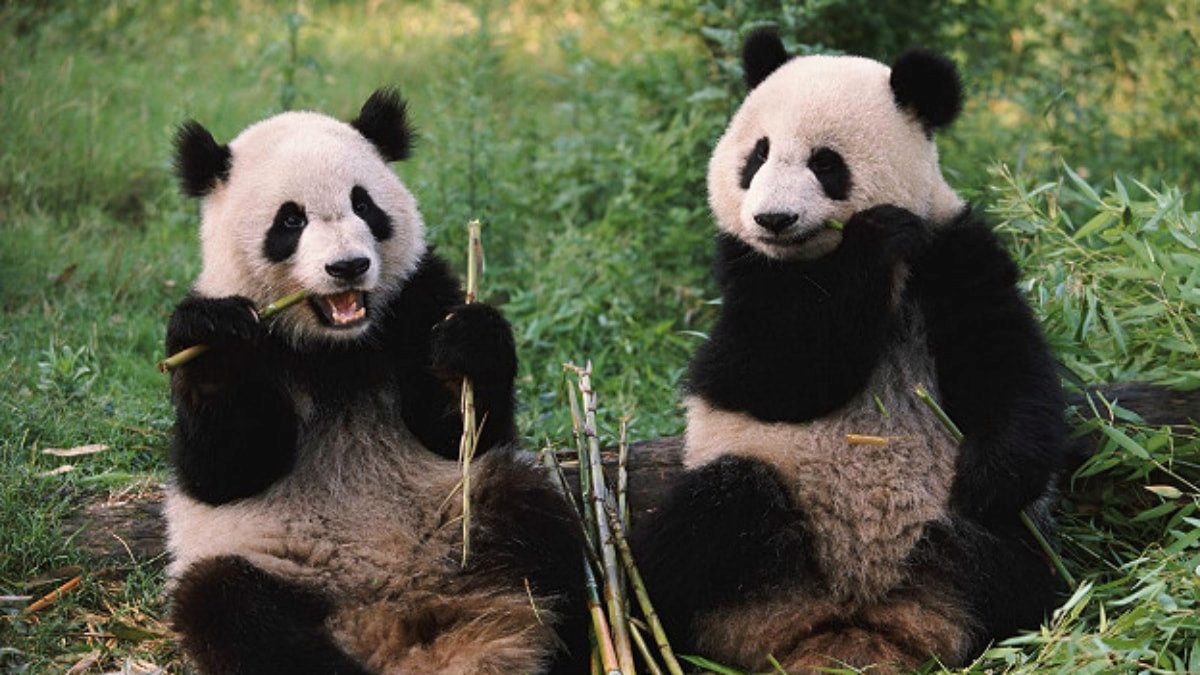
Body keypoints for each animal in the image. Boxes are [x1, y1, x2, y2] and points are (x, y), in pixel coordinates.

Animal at [162, 89, 586, 674]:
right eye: (289, 221)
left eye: (364, 204)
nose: (348, 266)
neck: (337, 346)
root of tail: (393, 615)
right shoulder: (248, 329)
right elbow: (224, 469)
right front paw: (215, 341)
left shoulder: (418, 296)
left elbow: (459, 433)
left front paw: (470, 342)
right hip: (280, 571)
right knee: (231, 606)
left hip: (460, 522)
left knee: (539, 524)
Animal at [632, 30, 1067, 672]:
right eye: (756, 156)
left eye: (825, 163)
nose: (773, 218)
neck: (815, 262)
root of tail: (849, 626)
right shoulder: (748, 274)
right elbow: (774, 372)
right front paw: (872, 240)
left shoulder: (951, 253)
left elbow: (1005, 366)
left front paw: (990, 478)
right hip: (754, 523)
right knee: (706, 519)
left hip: (958, 547)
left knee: (1013, 566)